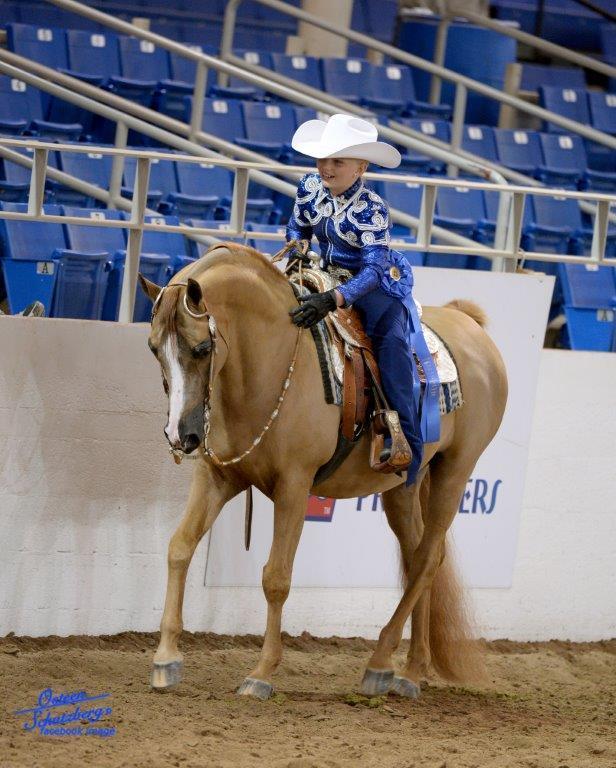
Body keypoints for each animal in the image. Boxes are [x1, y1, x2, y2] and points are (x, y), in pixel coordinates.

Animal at [139, 242, 508, 700]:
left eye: (202, 348)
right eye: (154, 348)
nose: (181, 435)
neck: (270, 358)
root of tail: (470, 326)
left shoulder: (294, 486)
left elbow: (276, 577)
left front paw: (262, 672)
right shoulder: (218, 478)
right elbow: (179, 548)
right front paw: (166, 658)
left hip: (456, 471)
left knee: (424, 561)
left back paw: (380, 662)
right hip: (404, 487)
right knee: (421, 555)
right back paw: (410, 670)